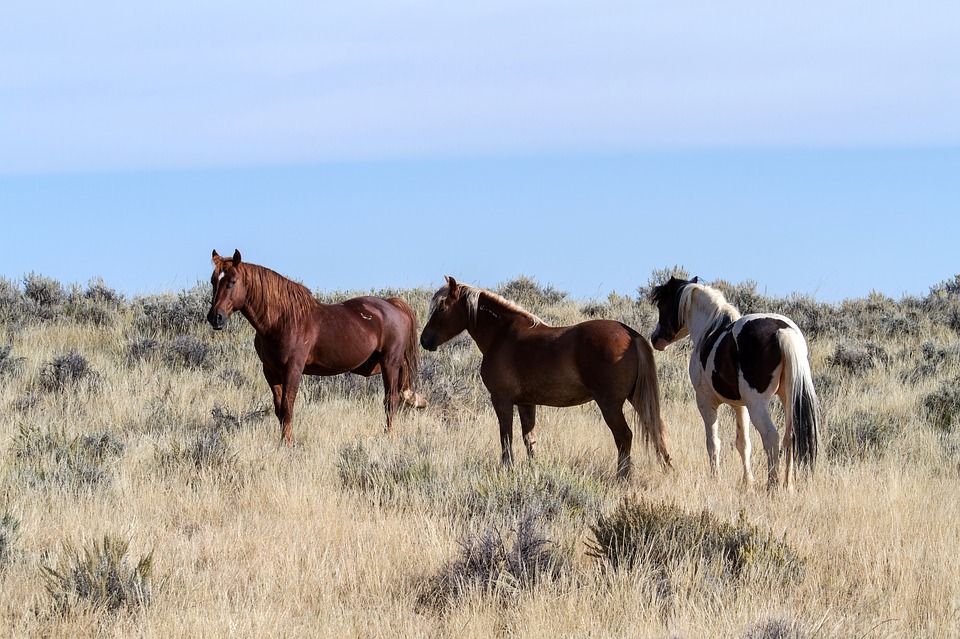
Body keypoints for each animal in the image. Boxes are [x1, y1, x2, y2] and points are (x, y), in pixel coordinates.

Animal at [205, 250, 424, 444]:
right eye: (213, 281)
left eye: (232, 281)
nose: (215, 317)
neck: (281, 321)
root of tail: (393, 305)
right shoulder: (271, 372)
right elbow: (279, 409)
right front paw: (283, 441)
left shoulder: (293, 369)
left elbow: (288, 407)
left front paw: (288, 444)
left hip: (390, 364)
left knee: (390, 401)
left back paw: (388, 436)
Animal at [420, 276, 668, 480]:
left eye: (441, 307)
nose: (424, 340)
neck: (502, 334)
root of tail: (631, 334)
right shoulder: (526, 403)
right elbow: (529, 438)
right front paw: (533, 469)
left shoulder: (501, 400)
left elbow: (506, 437)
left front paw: (507, 469)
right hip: (636, 399)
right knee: (657, 430)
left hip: (610, 404)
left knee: (624, 436)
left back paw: (622, 477)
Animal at [648, 276, 820, 490]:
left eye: (662, 304)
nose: (655, 339)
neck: (709, 330)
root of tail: (782, 331)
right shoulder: (740, 406)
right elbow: (743, 444)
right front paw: (748, 482)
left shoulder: (706, 402)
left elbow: (713, 442)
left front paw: (715, 478)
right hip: (788, 399)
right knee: (790, 438)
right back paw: (787, 486)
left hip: (758, 405)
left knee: (771, 437)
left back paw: (772, 485)